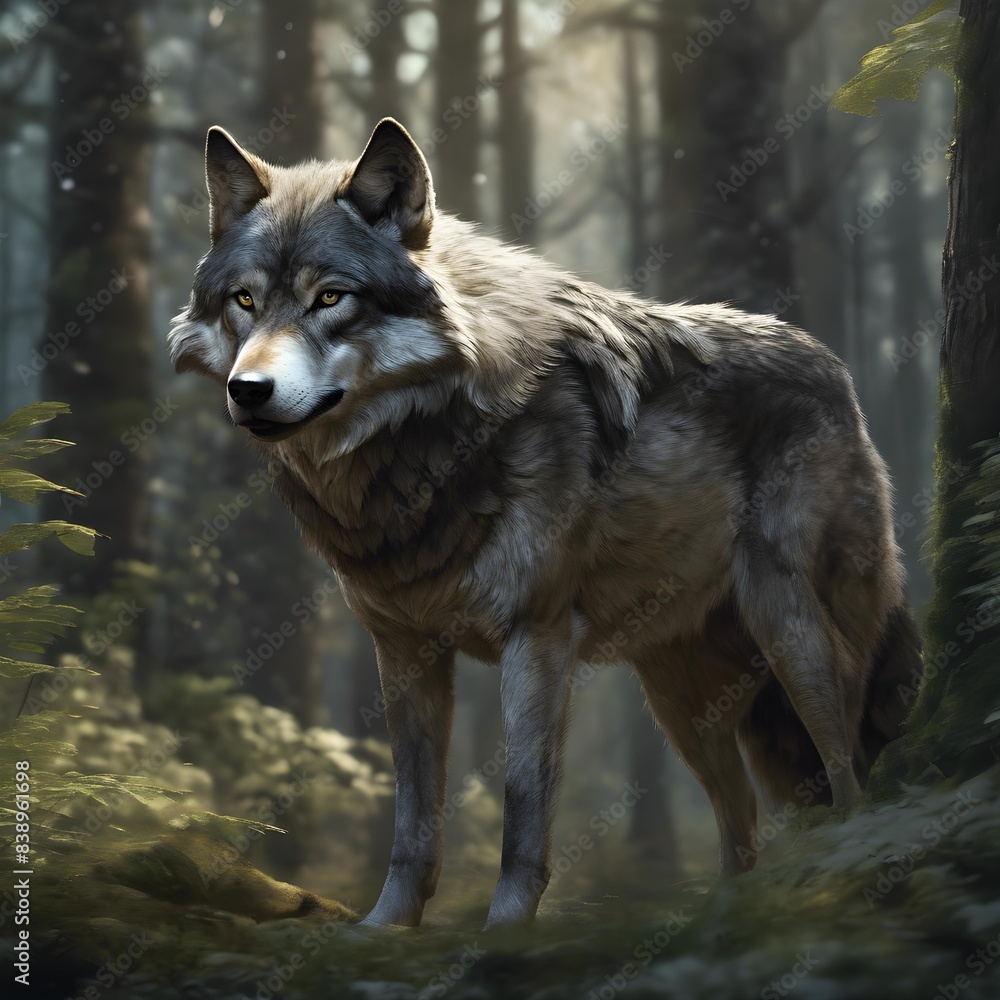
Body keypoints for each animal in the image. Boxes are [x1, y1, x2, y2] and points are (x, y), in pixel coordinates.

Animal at [169, 118, 922, 929]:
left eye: (330, 298)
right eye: (245, 300)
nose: (249, 390)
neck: (427, 451)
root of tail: (832, 366)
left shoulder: (536, 640)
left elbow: (523, 804)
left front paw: (506, 929)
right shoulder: (403, 651)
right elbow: (412, 816)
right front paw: (385, 927)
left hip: (789, 632)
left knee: (847, 768)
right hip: (680, 697)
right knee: (740, 820)